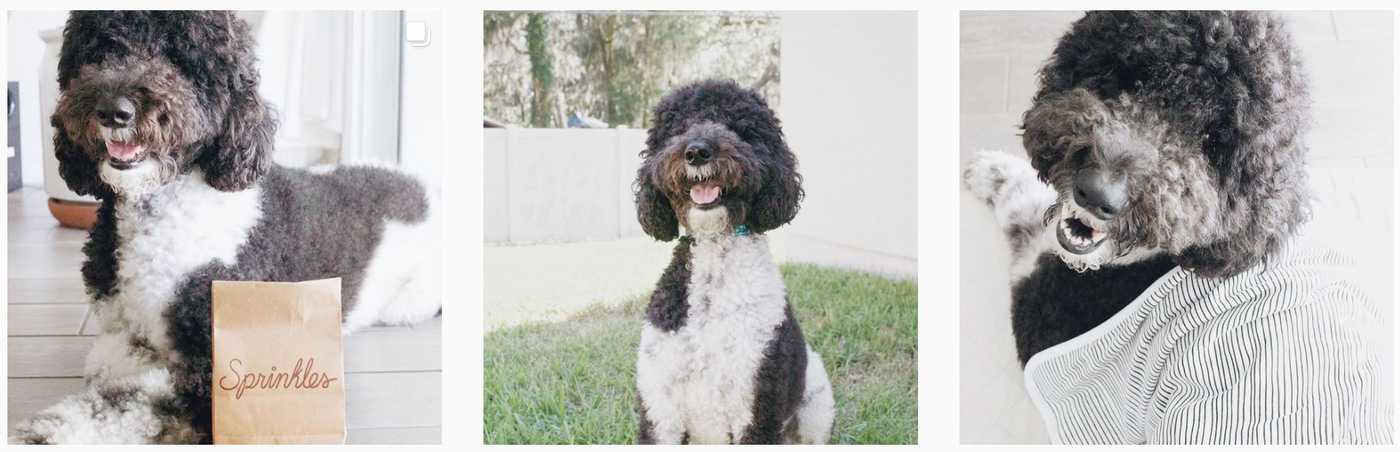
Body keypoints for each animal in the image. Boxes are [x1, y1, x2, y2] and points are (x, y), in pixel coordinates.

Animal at [13, 11, 439, 445]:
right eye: (100, 51)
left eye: (179, 58)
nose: (114, 110)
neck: (161, 204)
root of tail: (421, 184)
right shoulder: (118, 331)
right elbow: (107, 360)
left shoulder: (222, 367)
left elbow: (128, 403)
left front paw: (45, 434)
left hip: (409, 303)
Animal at [632, 81, 828, 445]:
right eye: (678, 128)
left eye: (739, 127)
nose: (697, 151)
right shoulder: (660, 411)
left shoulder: (756, 406)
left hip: (816, 404)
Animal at [957, 11, 1304, 363]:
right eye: (1133, 79)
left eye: (1211, 142)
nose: (1096, 193)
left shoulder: (1040, 310)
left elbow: (1023, 210)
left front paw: (989, 171)